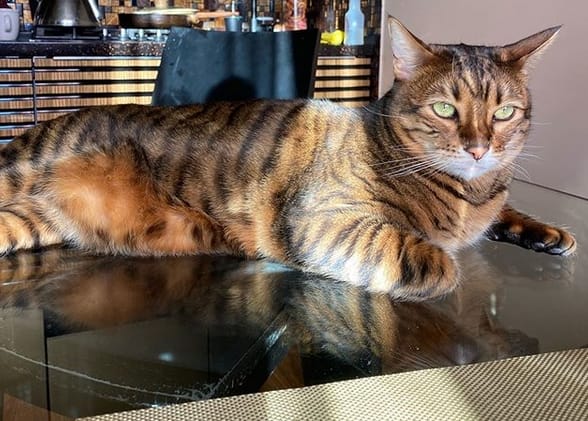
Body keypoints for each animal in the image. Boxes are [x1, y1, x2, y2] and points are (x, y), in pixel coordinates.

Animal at [0, 17, 576, 301]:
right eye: (444, 109)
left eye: (504, 112)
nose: (479, 147)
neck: (469, 196)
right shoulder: (322, 219)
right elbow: (436, 261)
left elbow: (505, 213)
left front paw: (542, 231)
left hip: (28, 221)